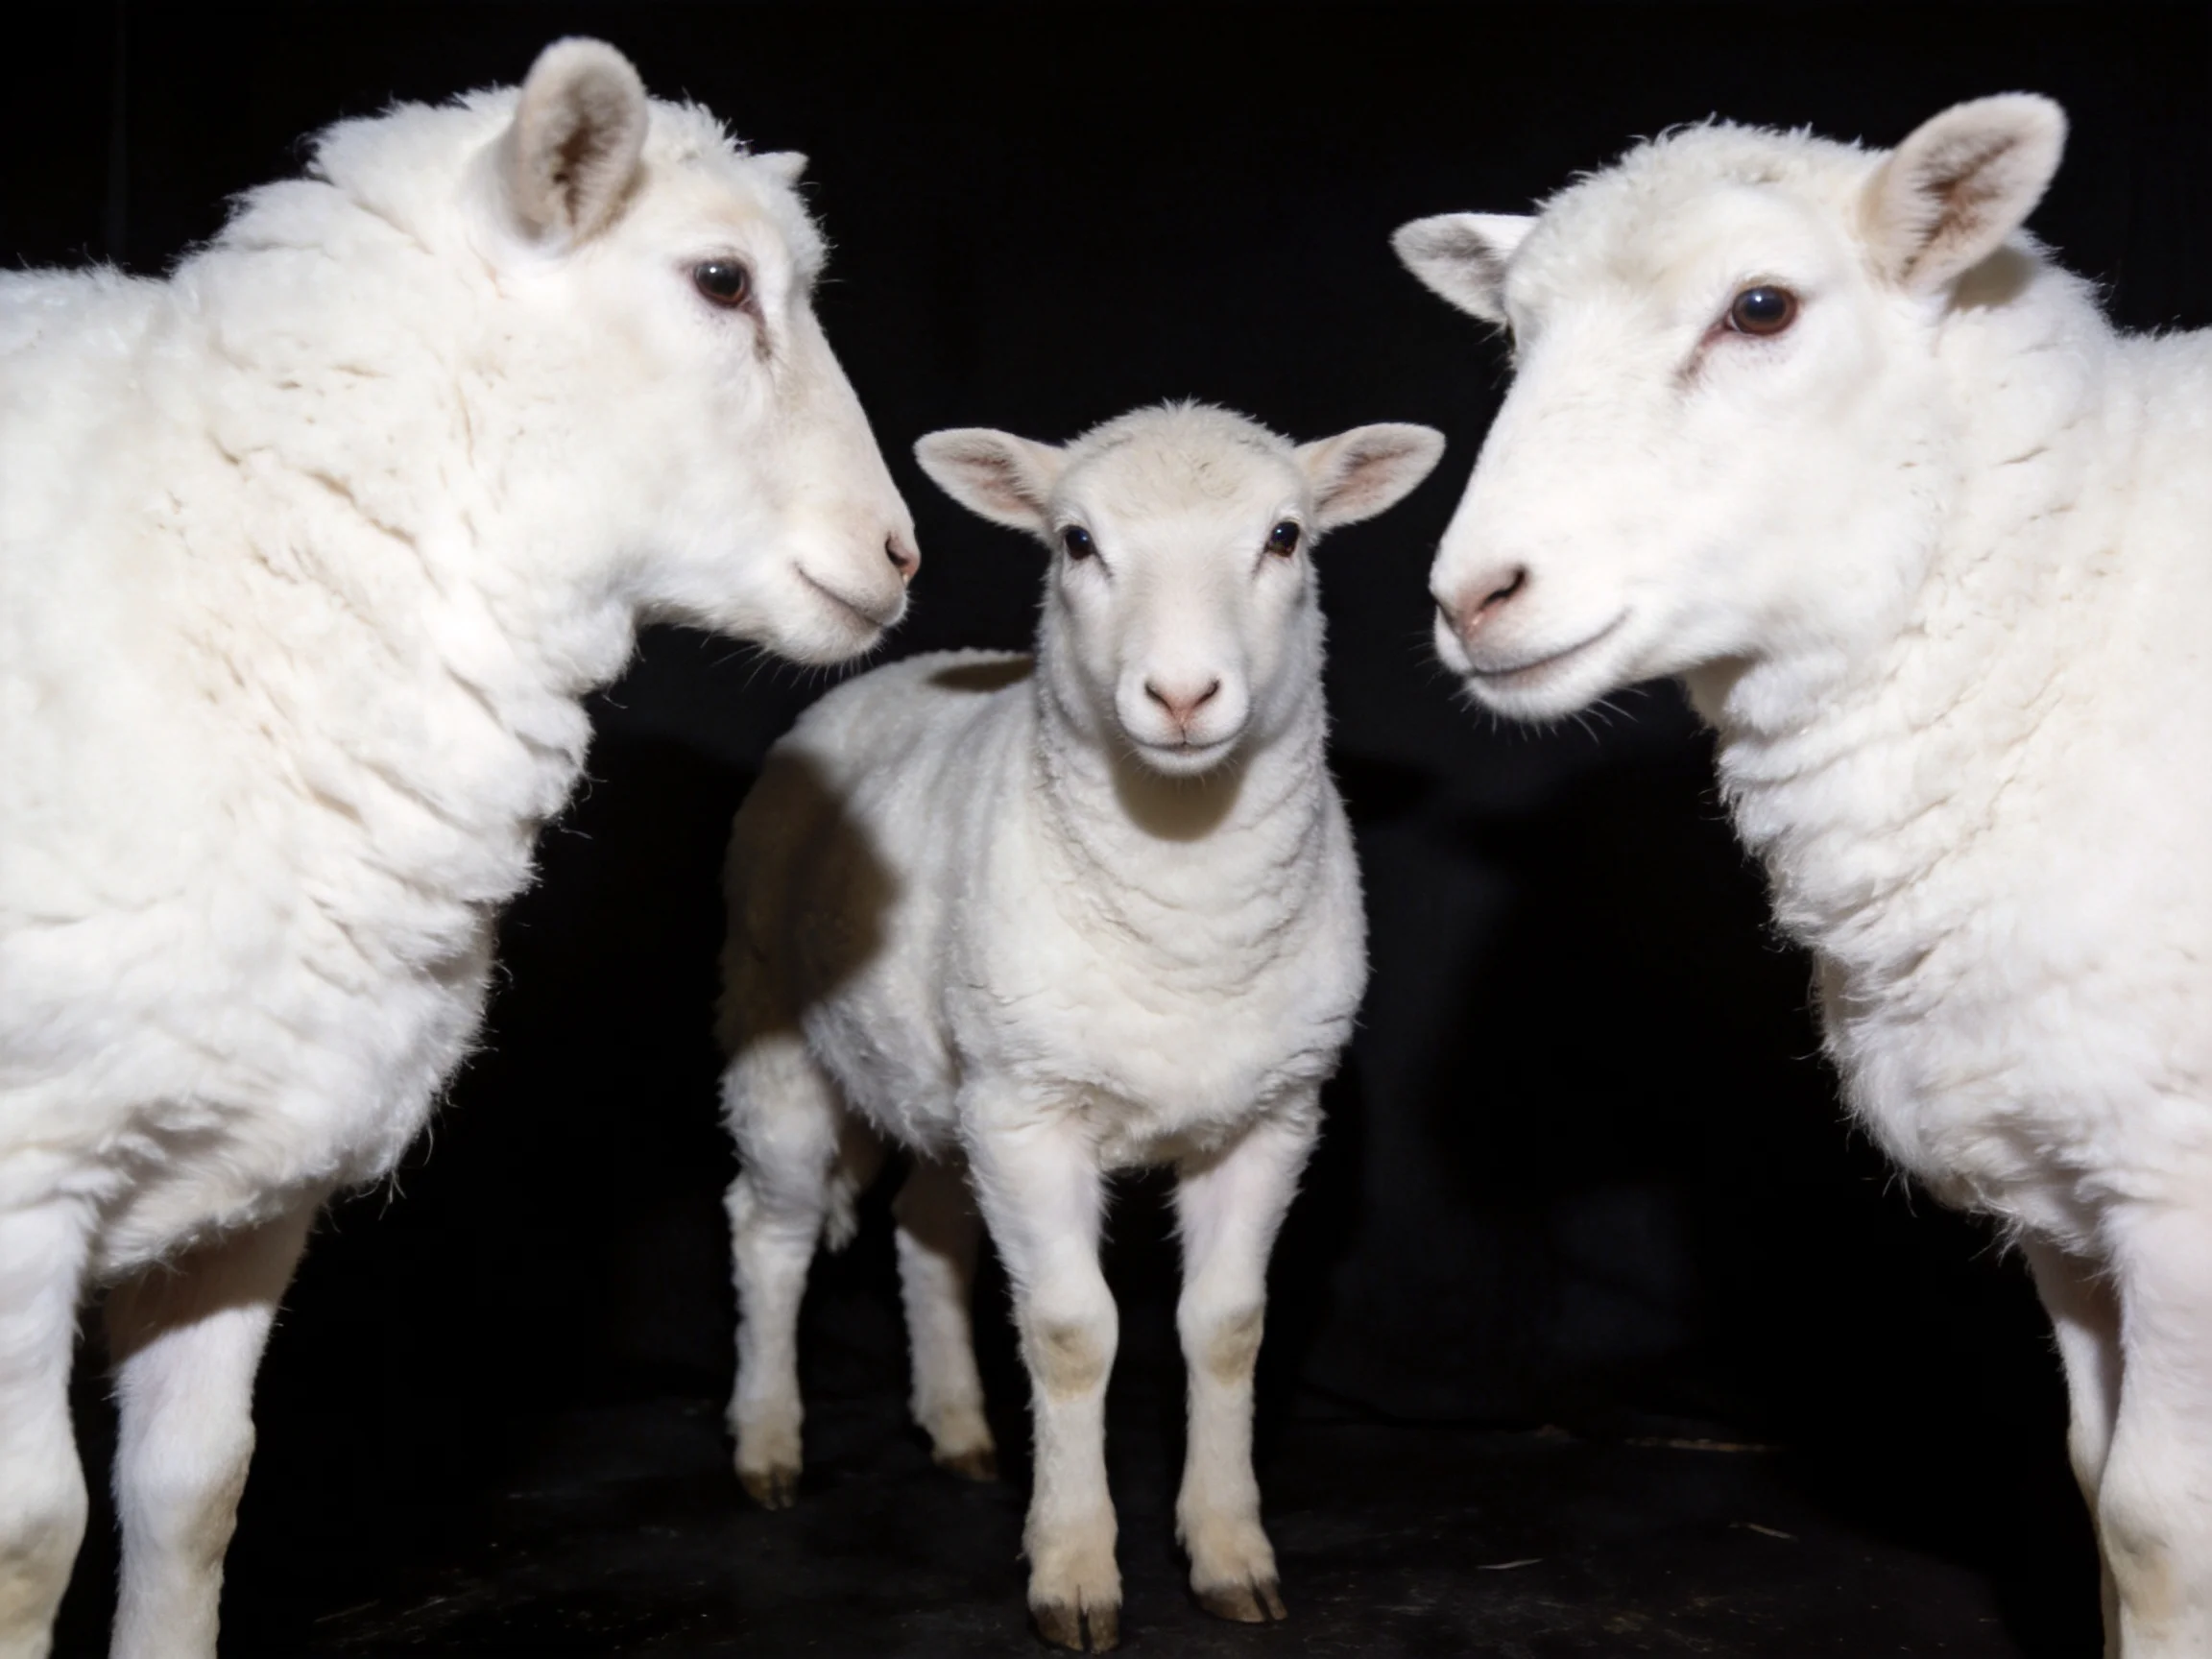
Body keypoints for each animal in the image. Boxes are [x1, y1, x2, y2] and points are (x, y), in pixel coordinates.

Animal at [0, 38, 918, 1659]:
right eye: (722, 281)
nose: (900, 556)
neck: (228, 560)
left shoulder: (249, 1173)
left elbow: (192, 1494)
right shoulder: (25, 1180)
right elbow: (31, 1536)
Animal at [717, 402, 1441, 1650]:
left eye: (1286, 537)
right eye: (1076, 544)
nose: (1184, 695)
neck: (1186, 915)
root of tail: (890, 677)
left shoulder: (1269, 1114)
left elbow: (1226, 1326)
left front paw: (1230, 1553)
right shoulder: (1033, 1113)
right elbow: (1071, 1333)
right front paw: (1072, 1569)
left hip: (954, 1080)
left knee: (926, 1223)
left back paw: (958, 1427)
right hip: (780, 1035)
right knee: (770, 1227)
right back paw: (767, 1444)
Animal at [1394, 95, 2212, 1656]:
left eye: (1761, 308)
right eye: (1516, 337)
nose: (1474, 598)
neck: (2069, 613)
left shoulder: (2181, 1191)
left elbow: (2158, 1522)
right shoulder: (2068, 1188)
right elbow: (2097, 1488)